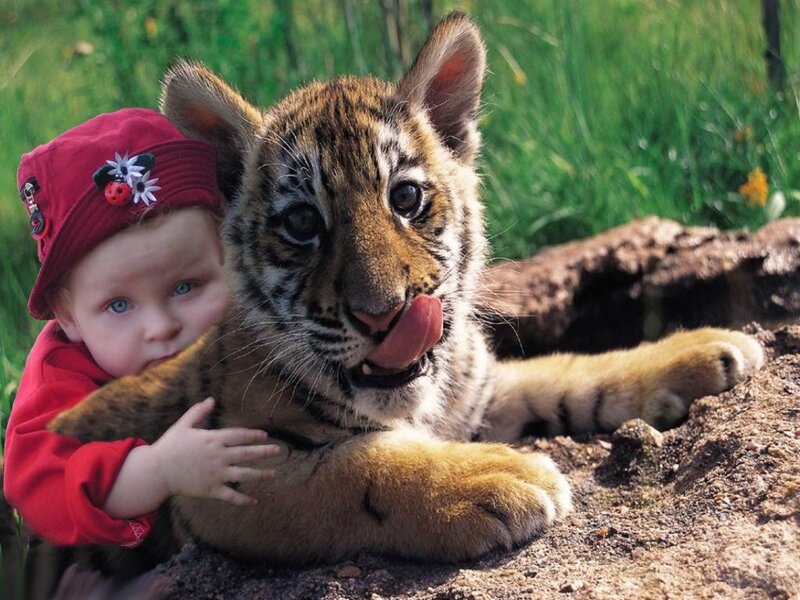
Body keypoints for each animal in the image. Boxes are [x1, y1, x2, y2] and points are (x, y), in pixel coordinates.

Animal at [50, 12, 764, 572]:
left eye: (407, 197)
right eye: (302, 222)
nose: (383, 314)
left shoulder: (482, 390)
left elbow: (569, 372)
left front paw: (707, 350)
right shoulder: (226, 480)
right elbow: (354, 468)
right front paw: (499, 475)